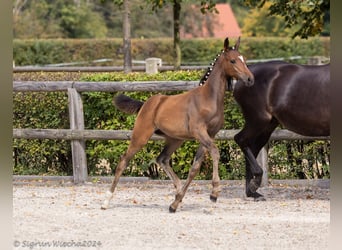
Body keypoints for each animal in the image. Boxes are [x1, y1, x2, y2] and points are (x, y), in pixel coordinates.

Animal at [101, 37, 254, 213]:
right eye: (233, 60)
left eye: (244, 59)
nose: (250, 79)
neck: (209, 98)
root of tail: (145, 104)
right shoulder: (199, 131)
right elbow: (215, 152)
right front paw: (214, 194)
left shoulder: (209, 134)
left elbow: (195, 167)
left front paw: (176, 202)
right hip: (141, 135)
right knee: (124, 161)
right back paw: (106, 201)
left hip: (175, 139)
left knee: (162, 159)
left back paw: (178, 193)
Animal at [232, 61, 328, 201]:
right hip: (258, 120)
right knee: (240, 139)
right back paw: (255, 185)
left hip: (268, 126)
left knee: (252, 148)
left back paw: (252, 192)